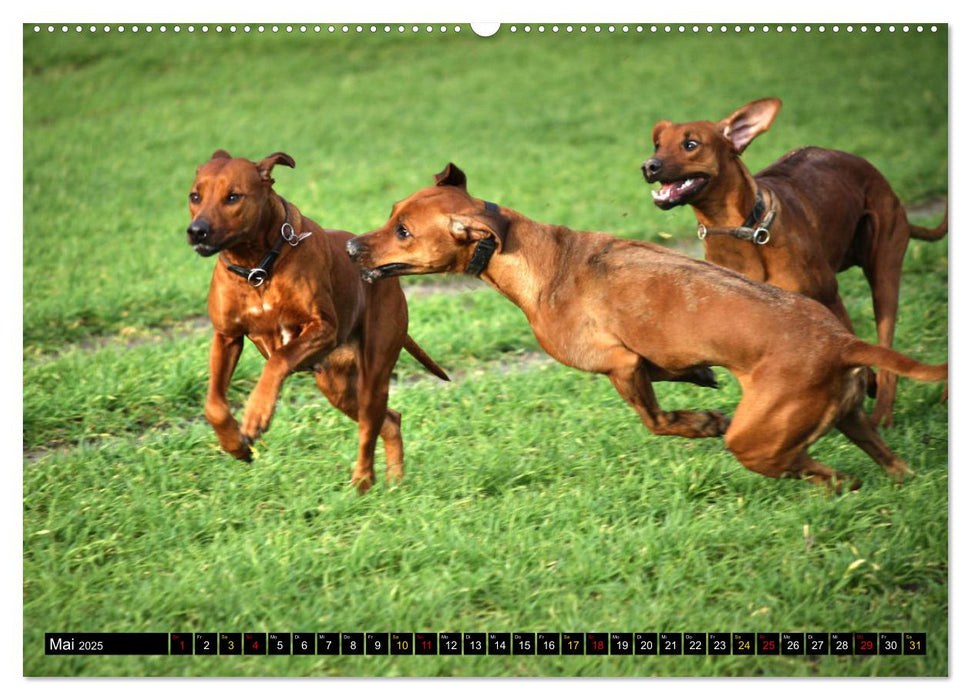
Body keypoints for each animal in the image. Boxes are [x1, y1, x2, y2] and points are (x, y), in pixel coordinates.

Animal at [188, 150, 450, 492]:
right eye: (195, 196)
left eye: (233, 197)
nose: (197, 231)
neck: (258, 267)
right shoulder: (226, 337)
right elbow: (214, 406)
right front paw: (235, 445)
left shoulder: (323, 328)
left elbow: (279, 359)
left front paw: (256, 414)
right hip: (335, 386)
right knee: (391, 420)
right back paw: (394, 482)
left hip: (374, 372)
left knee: (370, 427)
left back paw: (363, 481)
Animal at [346, 164, 944, 492]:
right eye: (391, 212)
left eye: (402, 230)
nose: (351, 246)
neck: (533, 255)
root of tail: (842, 341)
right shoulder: (644, 360)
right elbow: (677, 372)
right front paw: (700, 380)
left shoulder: (621, 365)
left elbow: (658, 420)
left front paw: (700, 420)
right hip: (849, 419)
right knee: (888, 465)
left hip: (759, 441)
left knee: (827, 474)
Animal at [640, 96, 944, 426]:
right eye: (657, 144)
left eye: (691, 144)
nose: (649, 165)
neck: (743, 230)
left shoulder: (829, 296)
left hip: (884, 271)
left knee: (887, 347)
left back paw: (885, 414)